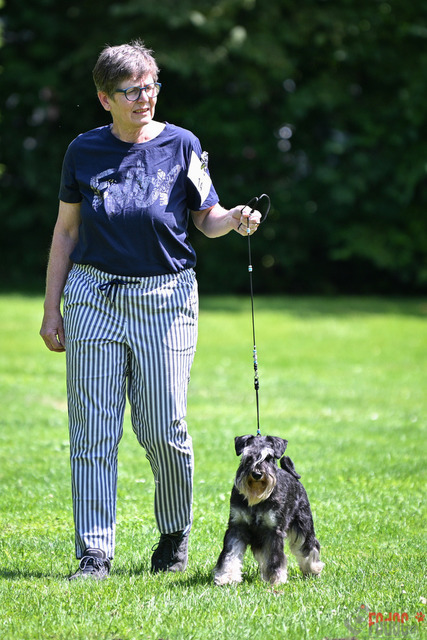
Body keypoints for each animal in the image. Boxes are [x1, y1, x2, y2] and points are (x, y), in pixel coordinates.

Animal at [213, 434, 324, 585]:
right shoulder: (236, 527)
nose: (257, 474)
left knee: (309, 547)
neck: (256, 499)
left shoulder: (274, 531)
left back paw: (313, 570)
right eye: (247, 457)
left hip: (303, 525)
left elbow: (275, 558)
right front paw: (227, 577)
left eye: (268, 457)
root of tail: (292, 475)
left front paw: (276, 580)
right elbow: (230, 555)